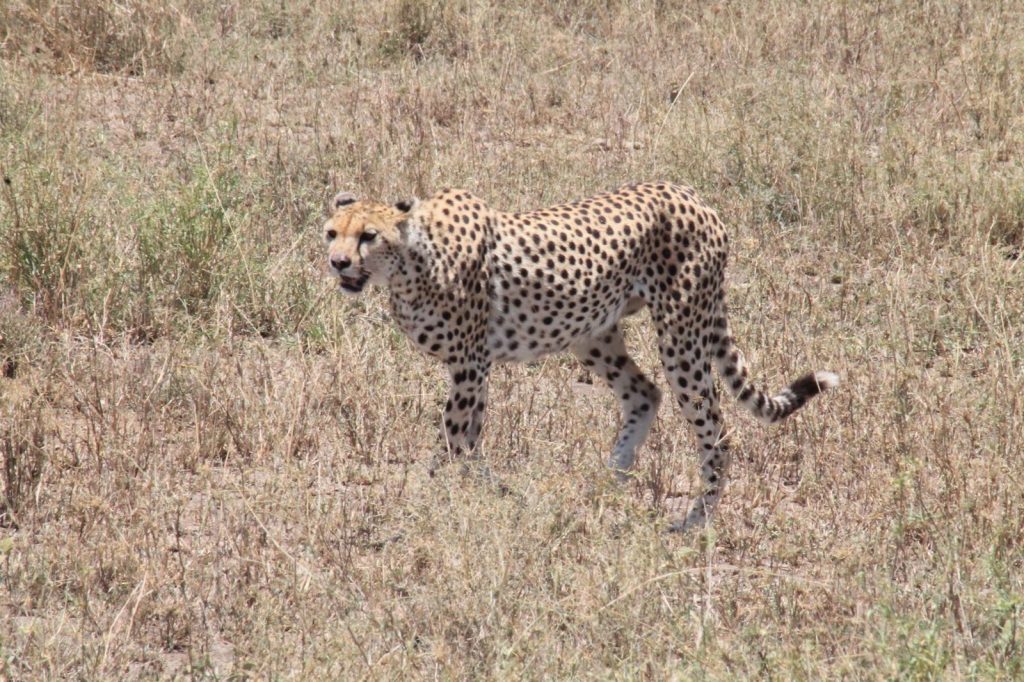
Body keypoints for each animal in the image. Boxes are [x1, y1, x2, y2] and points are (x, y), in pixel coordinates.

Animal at [323, 183, 835, 528]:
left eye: (368, 236)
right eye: (331, 233)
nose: (338, 262)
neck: (412, 261)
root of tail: (692, 195)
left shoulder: (469, 363)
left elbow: (453, 437)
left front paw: (437, 499)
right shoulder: (477, 365)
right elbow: (470, 439)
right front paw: (484, 491)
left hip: (681, 332)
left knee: (715, 425)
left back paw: (696, 519)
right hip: (592, 332)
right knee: (644, 393)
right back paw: (609, 483)